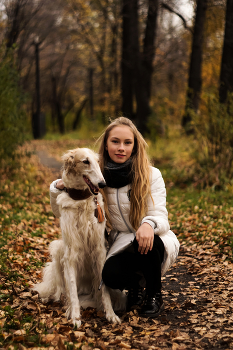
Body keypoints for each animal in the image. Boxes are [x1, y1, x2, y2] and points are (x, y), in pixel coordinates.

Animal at [33, 148, 121, 328]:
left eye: (97, 161)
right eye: (85, 161)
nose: (102, 184)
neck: (81, 199)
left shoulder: (99, 250)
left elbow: (104, 289)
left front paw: (110, 314)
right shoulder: (71, 253)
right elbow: (71, 289)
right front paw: (75, 316)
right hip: (58, 249)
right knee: (60, 289)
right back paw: (54, 299)